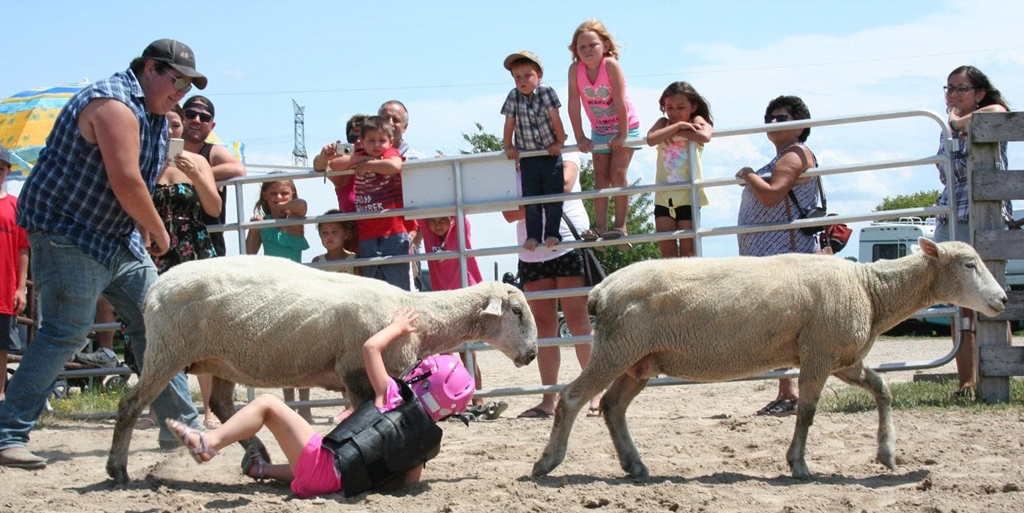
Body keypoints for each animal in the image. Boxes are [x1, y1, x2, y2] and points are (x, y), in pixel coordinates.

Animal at [106, 255, 538, 484]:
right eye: (517, 311)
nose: (532, 354)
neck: (422, 317)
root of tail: (157, 287)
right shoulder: (359, 374)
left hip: (220, 358)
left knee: (222, 405)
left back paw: (256, 453)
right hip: (167, 350)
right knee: (130, 404)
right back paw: (117, 469)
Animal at [532, 239, 1007, 480]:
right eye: (969, 264)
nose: (1003, 299)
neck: (871, 290)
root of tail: (601, 289)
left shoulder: (841, 356)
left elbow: (883, 388)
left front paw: (887, 454)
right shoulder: (818, 354)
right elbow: (807, 413)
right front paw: (799, 465)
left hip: (642, 360)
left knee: (612, 406)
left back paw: (636, 466)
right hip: (618, 348)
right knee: (572, 399)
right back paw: (547, 463)